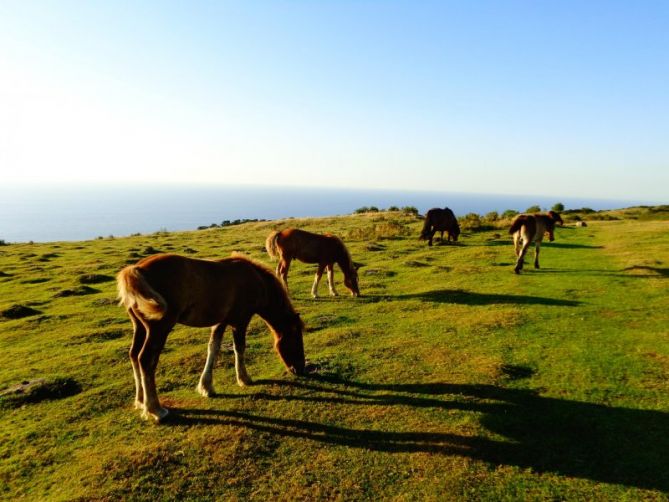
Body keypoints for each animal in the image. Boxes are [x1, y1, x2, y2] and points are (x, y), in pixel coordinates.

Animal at [117, 253, 306, 422]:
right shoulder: (240, 321)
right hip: (158, 329)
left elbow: (213, 348)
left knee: (134, 355)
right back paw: (155, 409)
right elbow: (239, 348)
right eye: (296, 338)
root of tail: (138, 269)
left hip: (140, 327)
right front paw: (244, 378)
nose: (300, 369)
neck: (255, 280)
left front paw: (206, 386)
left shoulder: (220, 321)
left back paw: (140, 401)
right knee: (146, 359)